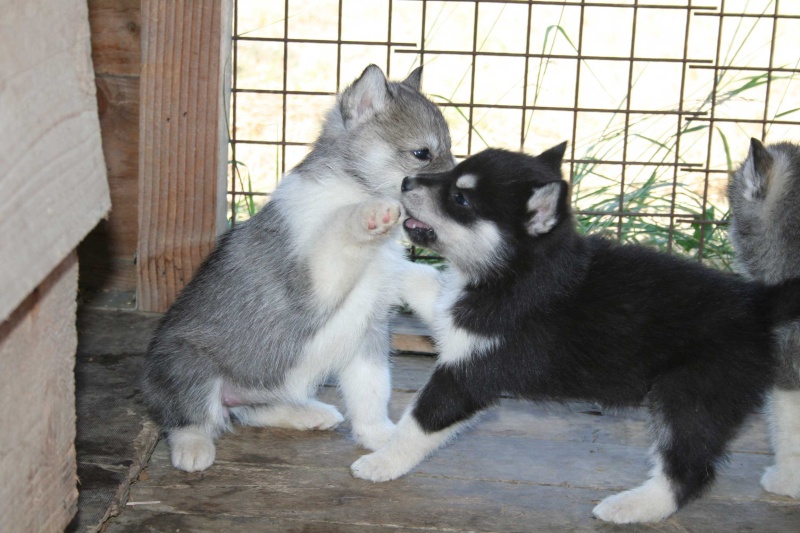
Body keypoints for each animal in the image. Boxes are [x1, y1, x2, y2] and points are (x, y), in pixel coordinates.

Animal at [141, 65, 454, 470]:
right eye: (421, 153)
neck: (348, 189)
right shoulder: (312, 284)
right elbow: (338, 231)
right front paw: (369, 214)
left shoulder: (368, 333)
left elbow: (372, 392)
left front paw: (381, 438)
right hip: (187, 364)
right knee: (188, 416)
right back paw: (192, 447)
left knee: (251, 410)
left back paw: (306, 413)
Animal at [352, 144, 800, 524]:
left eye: (461, 199)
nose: (406, 182)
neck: (517, 274)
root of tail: (756, 302)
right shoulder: (454, 316)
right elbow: (422, 279)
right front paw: (380, 256)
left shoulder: (469, 372)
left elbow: (420, 421)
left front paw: (383, 462)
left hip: (688, 396)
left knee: (689, 470)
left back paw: (632, 507)